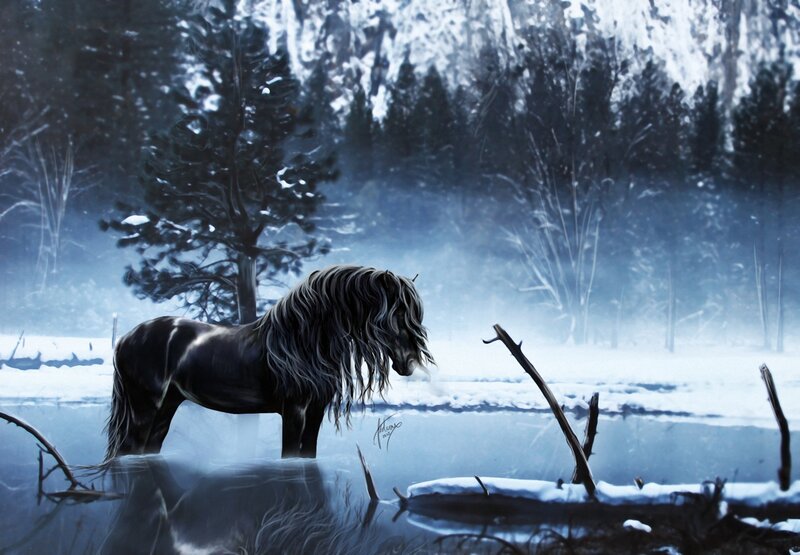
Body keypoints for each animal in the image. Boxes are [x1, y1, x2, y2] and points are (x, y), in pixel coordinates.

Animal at [105, 265, 433, 460]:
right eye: (395, 314)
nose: (409, 364)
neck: (302, 343)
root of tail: (125, 338)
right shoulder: (294, 411)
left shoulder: (316, 411)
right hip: (144, 408)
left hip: (167, 406)